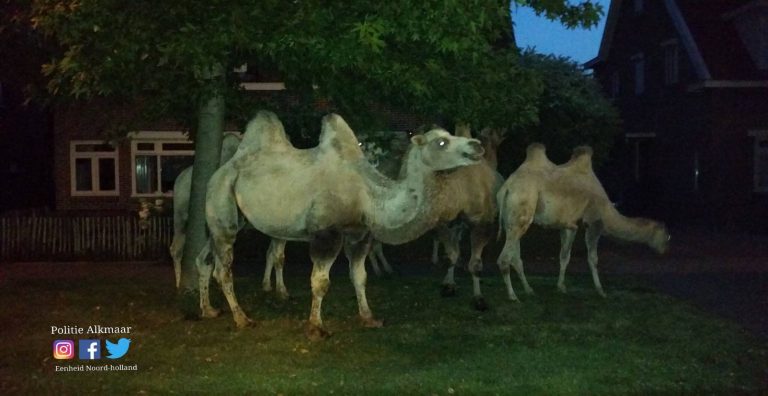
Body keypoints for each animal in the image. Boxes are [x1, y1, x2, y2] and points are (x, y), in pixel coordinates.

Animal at [195, 110, 484, 338]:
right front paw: (316, 327)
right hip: (223, 205)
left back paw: (208, 310)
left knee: (204, 259)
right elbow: (320, 281)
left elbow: (360, 276)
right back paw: (242, 319)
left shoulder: (360, 234)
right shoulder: (326, 233)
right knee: (223, 269)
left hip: (229, 220)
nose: (477, 145)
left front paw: (369, 317)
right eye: (441, 142)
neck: (367, 196)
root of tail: (221, 170)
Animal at [496, 143, 668, 300]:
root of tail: (507, 188)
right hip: (522, 210)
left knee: (516, 257)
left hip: (511, 220)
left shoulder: (569, 225)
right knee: (504, 259)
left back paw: (529, 290)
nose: (665, 250)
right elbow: (593, 259)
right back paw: (513, 296)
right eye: (666, 236)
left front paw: (561, 287)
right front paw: (601, 291)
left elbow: (564, 257)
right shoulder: (594, 223)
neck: (608, 209)